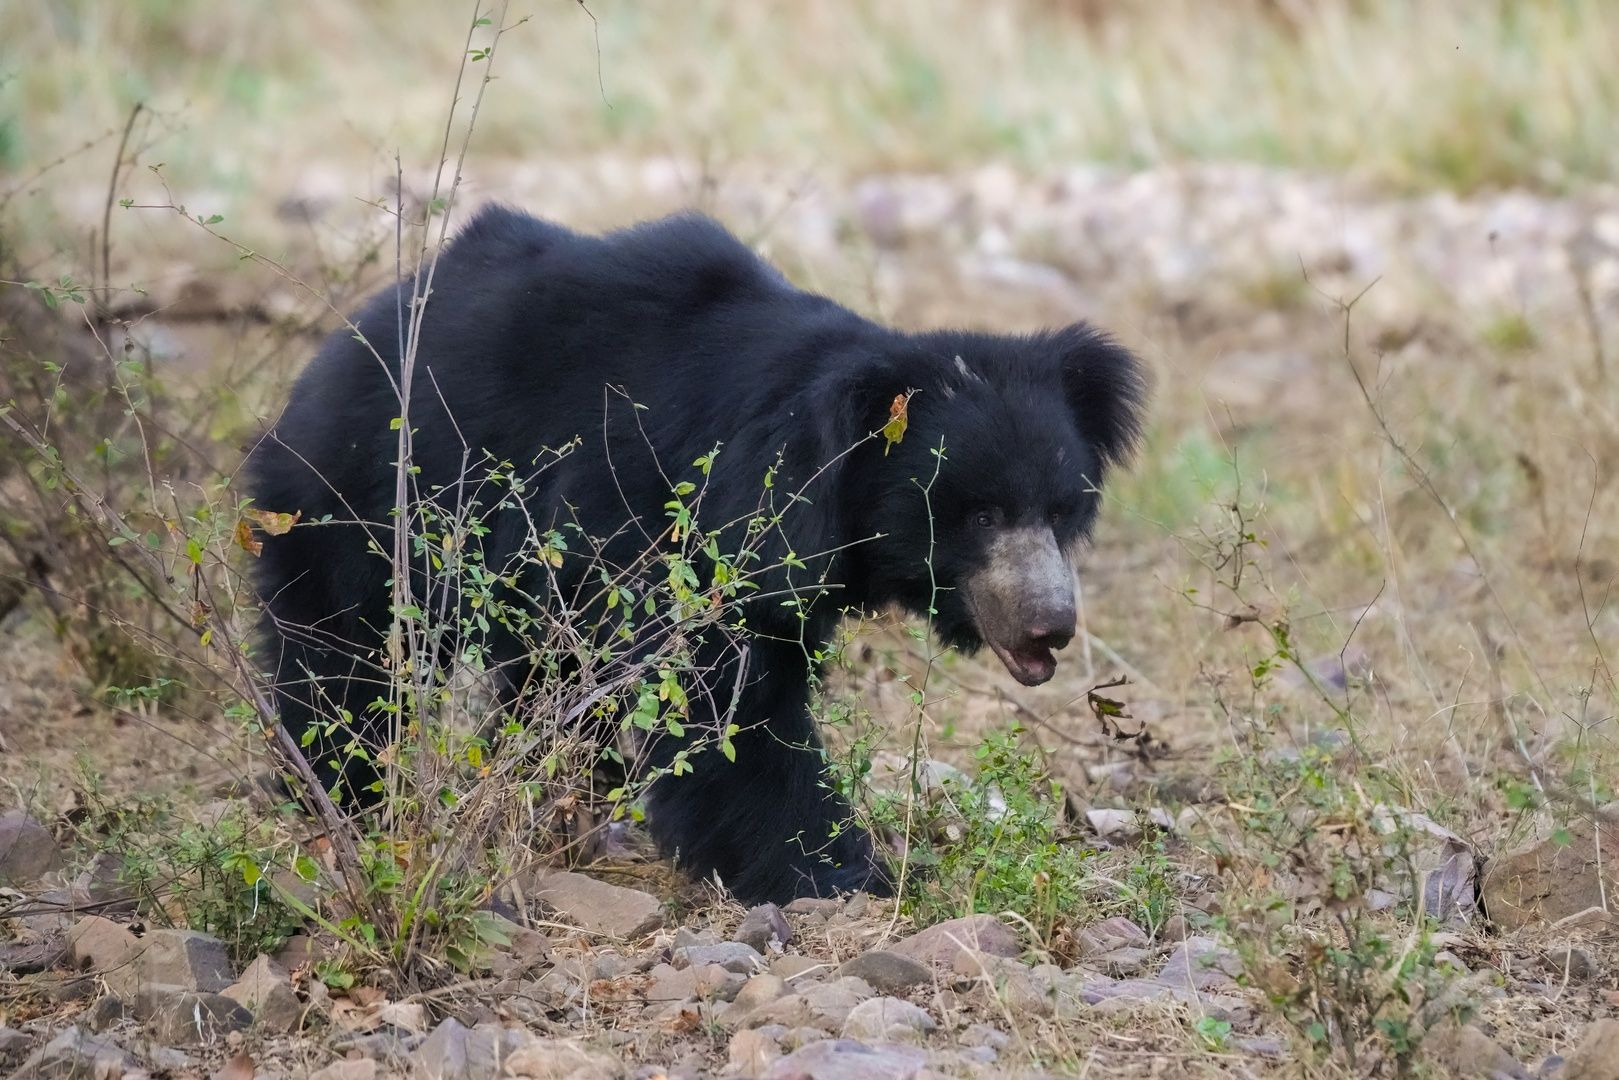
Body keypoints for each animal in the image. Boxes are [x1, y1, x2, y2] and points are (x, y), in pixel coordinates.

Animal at [246, 204, 1146, 904]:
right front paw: (837, 872)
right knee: (345, 652)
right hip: (362, 497)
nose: (1050, 625)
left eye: (1059, 510)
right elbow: (723, 702)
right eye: (980, 513)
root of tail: (349, 336)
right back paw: (348, 791)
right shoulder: (672, 522)